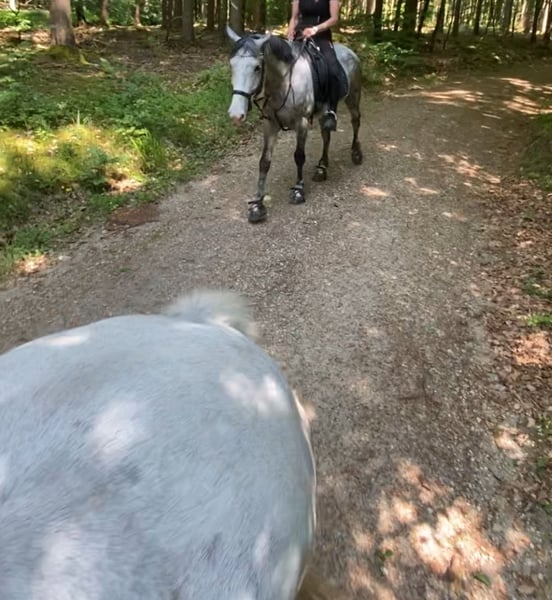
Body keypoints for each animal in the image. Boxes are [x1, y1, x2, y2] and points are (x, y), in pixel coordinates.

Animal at [227, 26, 363, 223]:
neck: (283, 82)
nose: (236, 114)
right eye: (231, 65)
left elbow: (299, 156)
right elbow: (264, 162)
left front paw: (298, 190)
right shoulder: (270, 124)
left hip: (353, 97)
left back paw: (356, 153)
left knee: (355, 121)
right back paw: (322, 167)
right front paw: (258, 204)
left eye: (257, 68)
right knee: (326, 135)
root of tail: (350, 52)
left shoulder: (302, 122)